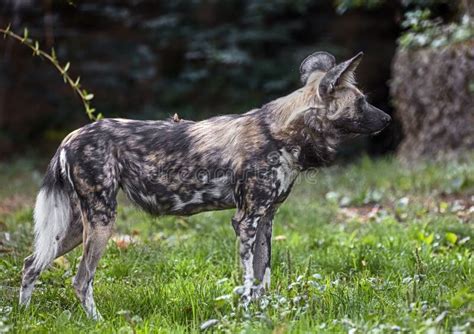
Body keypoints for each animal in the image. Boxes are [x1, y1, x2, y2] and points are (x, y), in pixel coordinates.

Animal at [18, 51, 388, 320]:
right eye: (361, 102)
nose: (388, 119)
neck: (282, 133)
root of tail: (71, 136)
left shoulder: (266, 220)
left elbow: (263, 279)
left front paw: (264, 318)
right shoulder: (246, 221)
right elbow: (248, 280)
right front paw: (247, 317)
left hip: (76, 227)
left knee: (31, 264)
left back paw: (22, 316)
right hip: (101, 223)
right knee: (81, 280)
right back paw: (98, 323)